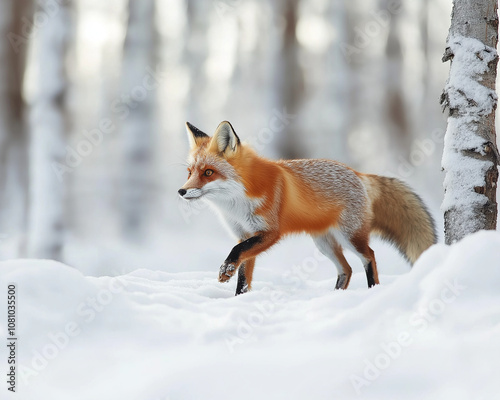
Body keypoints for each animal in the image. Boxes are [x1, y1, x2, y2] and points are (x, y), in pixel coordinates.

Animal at [178, 120, 436, 296]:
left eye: (208, 172)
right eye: (190, 172)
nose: (181, 191)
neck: (236, 204)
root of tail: (358, 173)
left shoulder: (269, 232)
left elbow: (236, 251)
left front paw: (225, 270)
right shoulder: (246, 234)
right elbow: (244, 274)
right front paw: (239, 298)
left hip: (350, 237)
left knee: (369, 256)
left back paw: (372, 290)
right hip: (324, 244)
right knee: (347, 269)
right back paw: (335, 295)